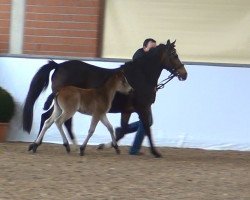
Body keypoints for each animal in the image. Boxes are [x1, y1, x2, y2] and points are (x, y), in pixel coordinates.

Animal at [23, 39, 188, 157]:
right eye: (174, 55)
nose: (184, 74)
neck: (141, 75)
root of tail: (58, 66)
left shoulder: (127, 111)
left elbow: (122, 130)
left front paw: (105, 145)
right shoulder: (142, 108)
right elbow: (146, 128)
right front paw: (155, 152)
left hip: (61, 105)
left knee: (49, 118)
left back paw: (38, 145)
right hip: (68, 106)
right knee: (59, 120)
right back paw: (68, 146)